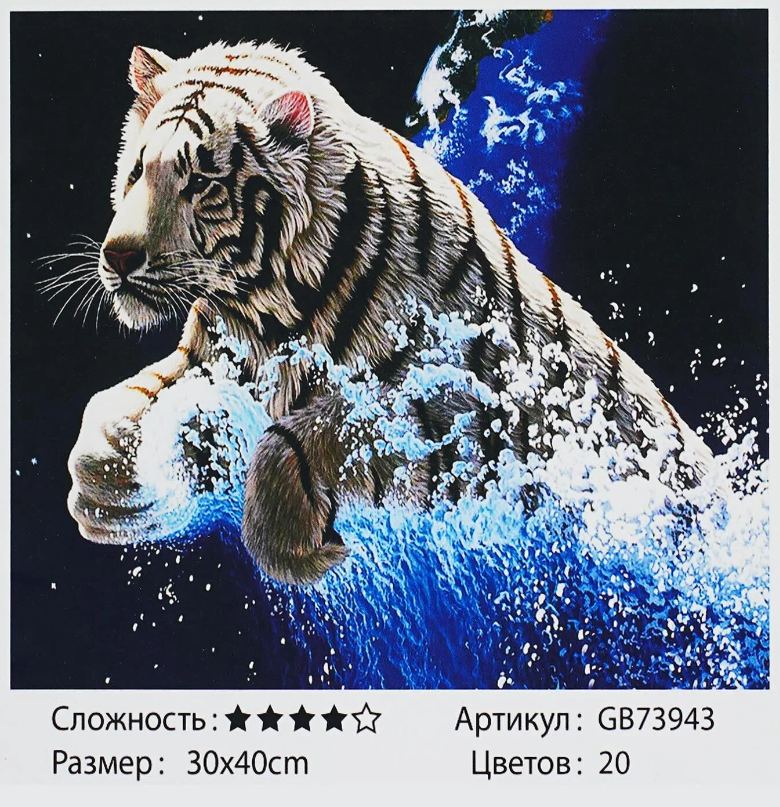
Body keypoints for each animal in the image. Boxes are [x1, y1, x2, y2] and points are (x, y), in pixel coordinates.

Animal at [66, 41, 714, 584]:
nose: (118, 256)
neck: (263, 309)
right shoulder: (212, 359)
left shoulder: (456, 418)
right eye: (136, 170)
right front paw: (106, 483)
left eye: (200, 181)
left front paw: (302, 550)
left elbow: (308, 435)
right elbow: (126, 402)